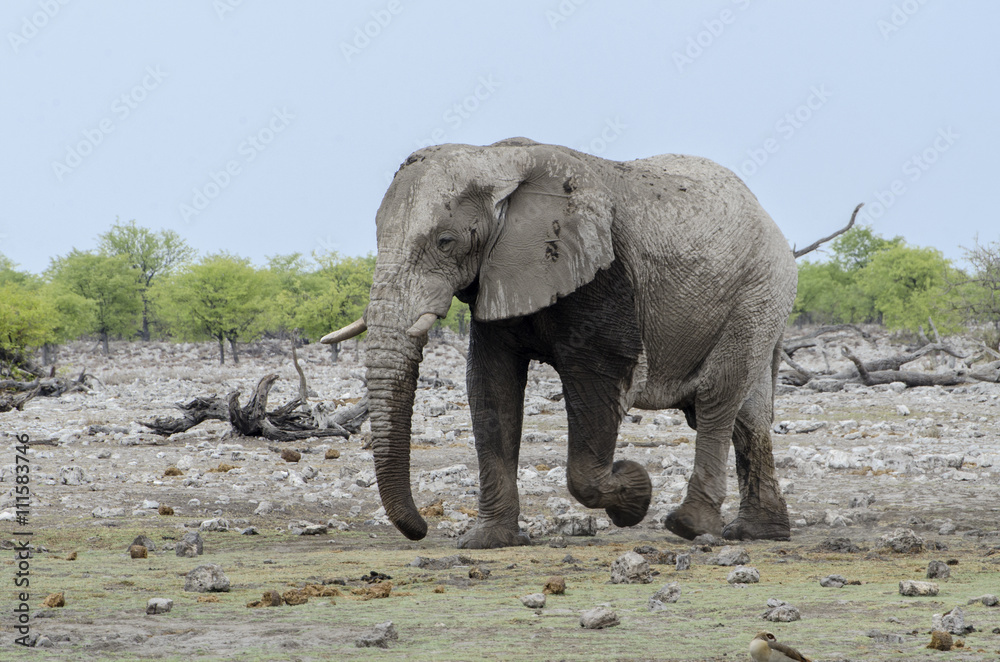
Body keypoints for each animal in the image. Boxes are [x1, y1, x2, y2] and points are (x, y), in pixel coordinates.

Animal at [322, 137, 798, 549]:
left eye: (445, 241)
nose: (421, 528)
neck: (494, 157)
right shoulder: (497, 273)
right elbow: (491, 388)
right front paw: (487, 541)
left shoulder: (599, 273)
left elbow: (599, 378)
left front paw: (634, 491)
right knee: (750, 412)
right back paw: (758, 533)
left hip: (757, 292)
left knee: (718, 397)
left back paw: (690, 526)